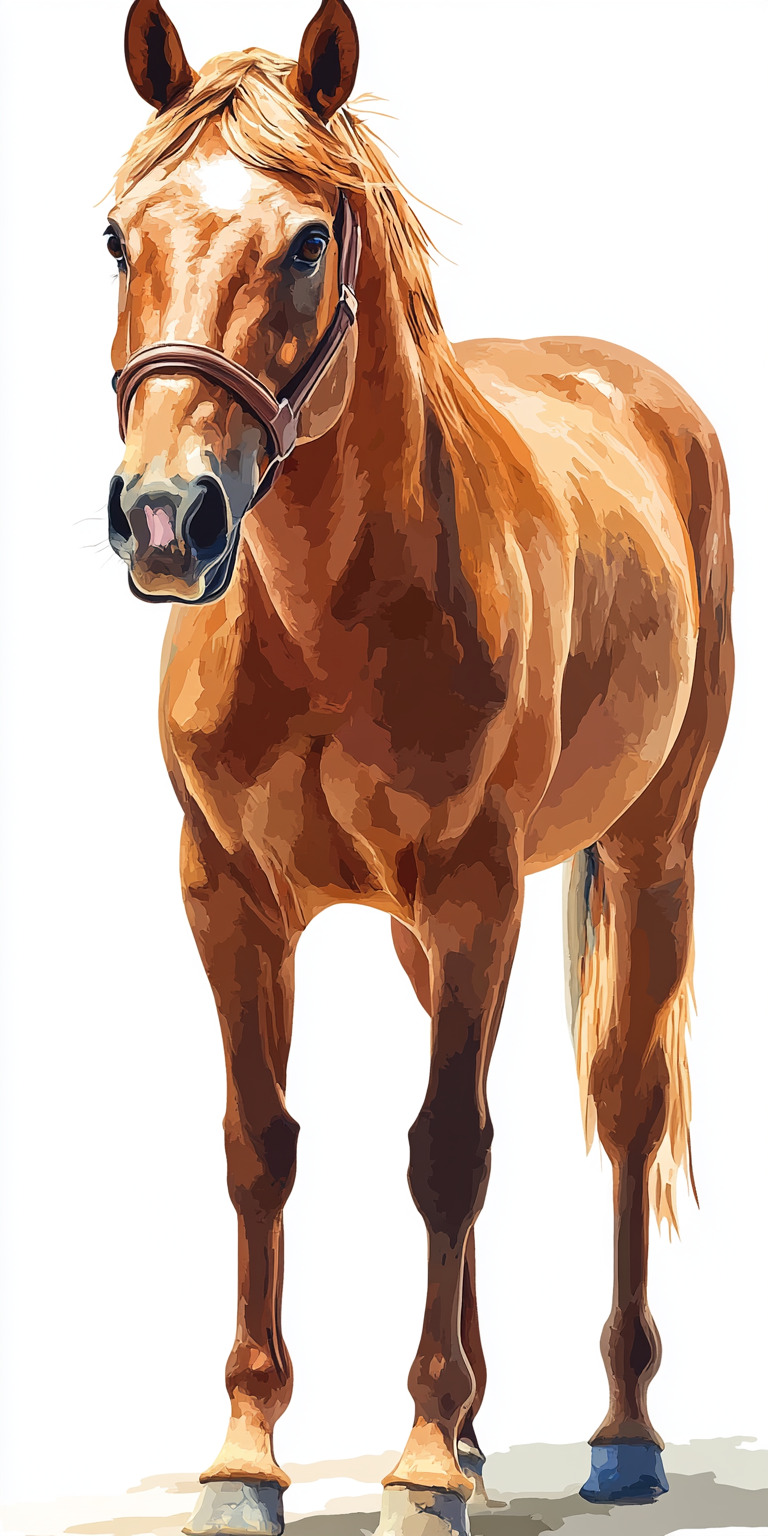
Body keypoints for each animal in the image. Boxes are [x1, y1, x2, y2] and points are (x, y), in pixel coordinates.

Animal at [105, 3, 734, 1532]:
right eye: (116, 237)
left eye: (305, 242)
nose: (164, 519)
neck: (327, 619)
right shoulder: (230, 900)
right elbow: (260, 1147)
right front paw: (247, 1461)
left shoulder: (473, 895)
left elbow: (449, 1153)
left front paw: (425, 1471)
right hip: (424, 932)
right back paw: (486, 1420)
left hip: (651, 855)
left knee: (623, 1113)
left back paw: (620, 1436)